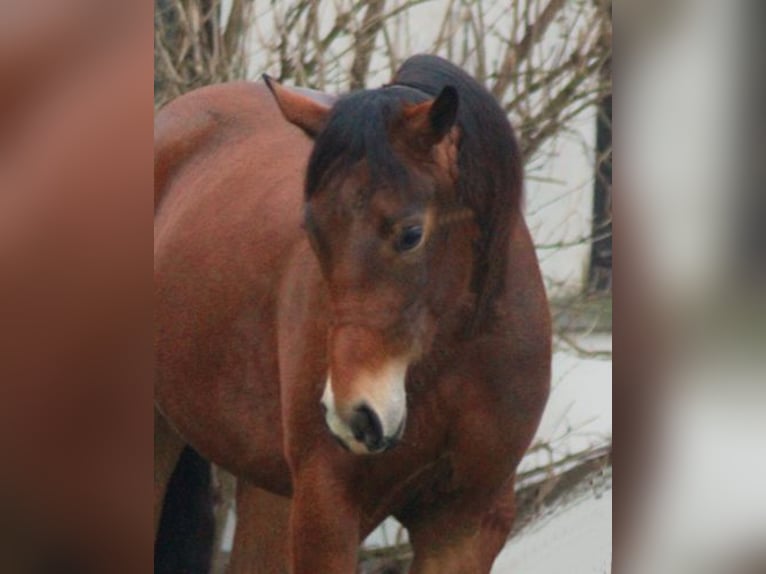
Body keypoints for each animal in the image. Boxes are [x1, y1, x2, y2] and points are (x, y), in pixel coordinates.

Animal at [154, 54, 551, 573]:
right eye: (311, 228)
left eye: (411, 234)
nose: (354, 416)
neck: (449, 360)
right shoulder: (327, 508)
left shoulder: (464, 524)